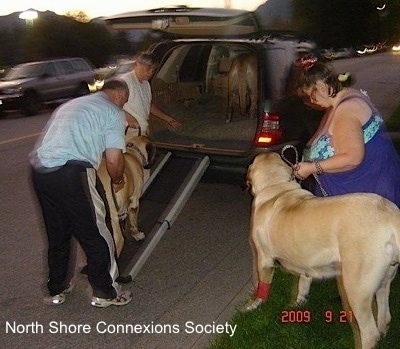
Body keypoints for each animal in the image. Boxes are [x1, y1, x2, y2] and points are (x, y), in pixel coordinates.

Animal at [244, 152, 400, 348]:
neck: (277, 186)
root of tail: (391, 214)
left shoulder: (264, 259)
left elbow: (262, 287)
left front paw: (254, 305)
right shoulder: (305, 258)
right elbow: (303, 282)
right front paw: (298, 303)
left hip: (356, 289)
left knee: (370, 332)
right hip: (384, 280)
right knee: (385, 317)